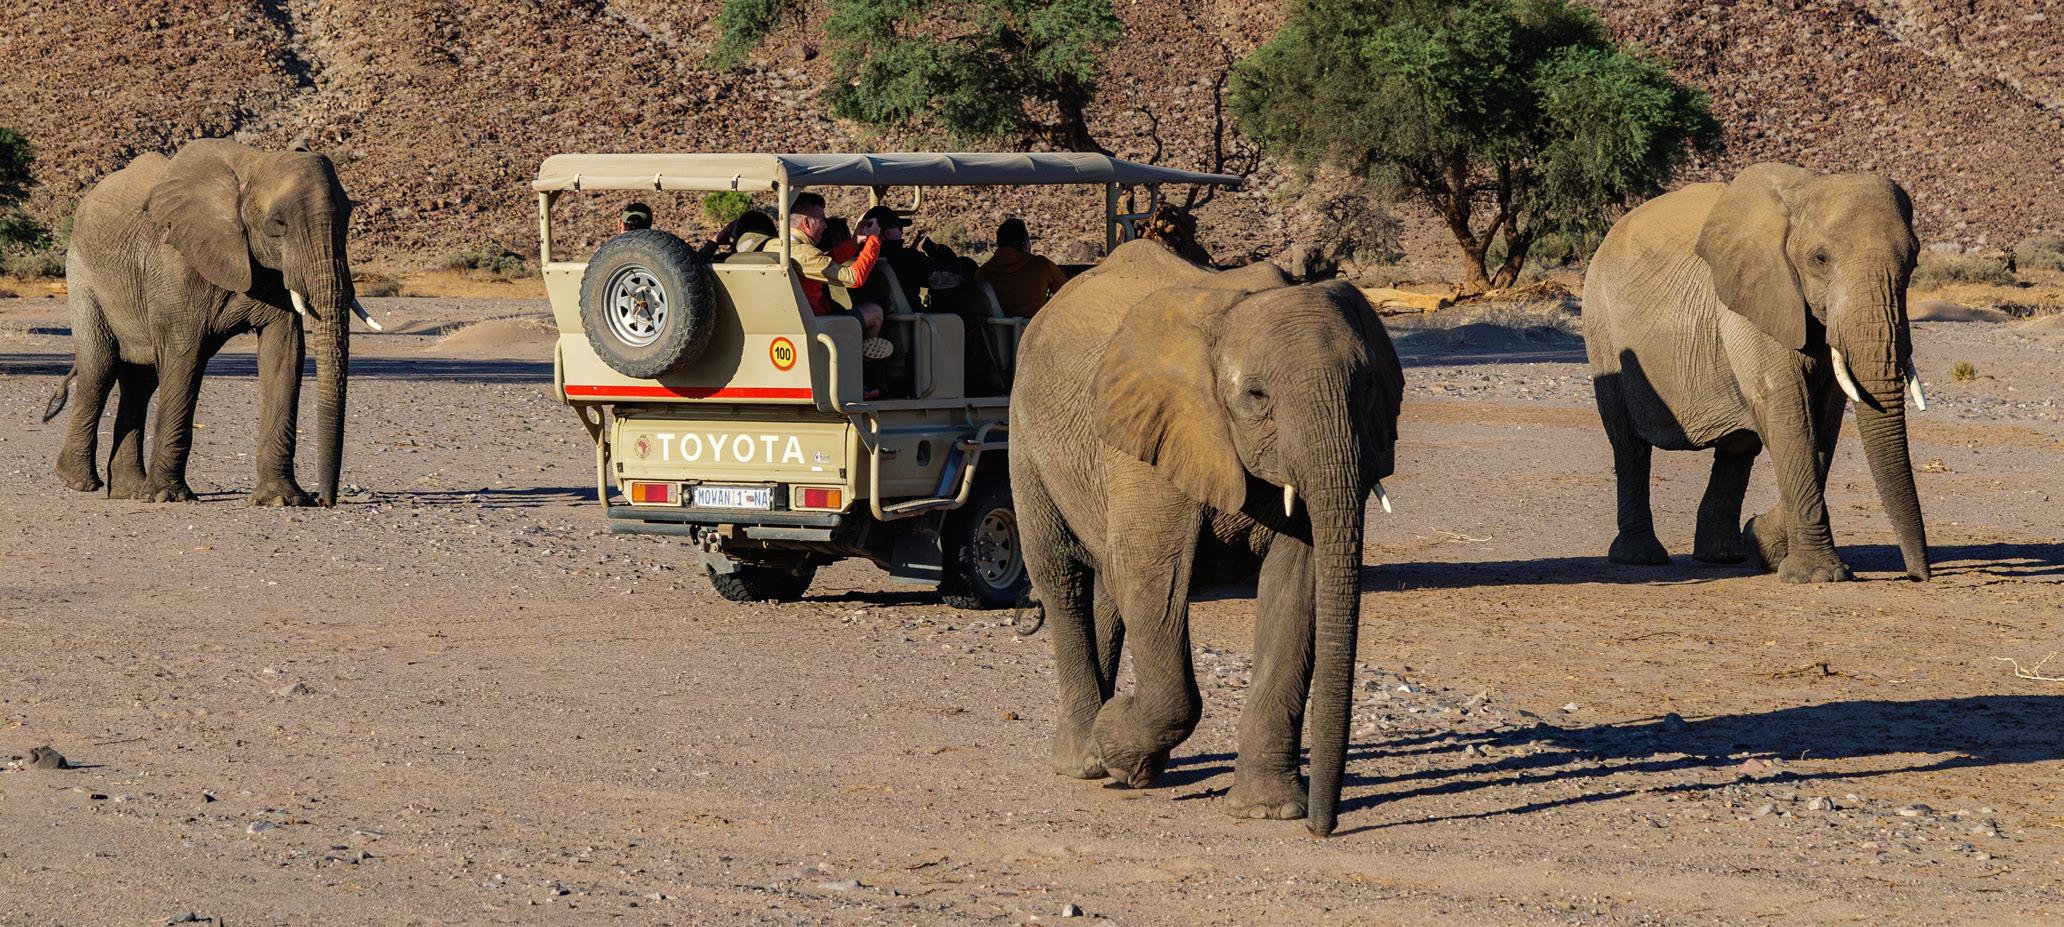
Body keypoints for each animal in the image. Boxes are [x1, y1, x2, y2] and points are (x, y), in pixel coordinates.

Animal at [43, 138, 379, 506]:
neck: (251, 167)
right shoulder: (175, 262)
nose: (325, 500)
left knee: (140, 382)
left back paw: (129, 491)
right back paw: (78, 481)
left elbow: (284, 354)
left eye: (347, 217)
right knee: (100, 369)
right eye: (278, 223)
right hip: (82, 276)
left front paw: (281, 499)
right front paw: (167, 497)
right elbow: (185, 356)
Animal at [1010, 240, 1405, 837]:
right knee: (1064, 579)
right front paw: (1119, 746)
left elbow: (1298, 586)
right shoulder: (1151, 438)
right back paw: (1085, 760)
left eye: (1367, 388)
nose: (1324, 827)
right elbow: (1154, 577)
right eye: (1257, 395)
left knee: (1106, 585)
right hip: (1024, 437)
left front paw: (1268, 811)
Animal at [1584, 162, 1929, 583]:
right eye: (1820, 259)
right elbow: (1789, 409)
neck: (1803, 191)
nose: (1917, 576)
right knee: (1629, 444)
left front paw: (1763, 544)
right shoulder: (1754, 298)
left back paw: (1724, 554)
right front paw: (1817, 576)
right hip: (1602, 329)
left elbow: (1823, 423)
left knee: (1738, 449)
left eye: (1913, 262)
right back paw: (1641, 557)